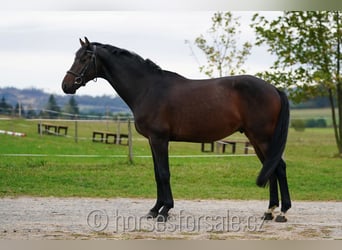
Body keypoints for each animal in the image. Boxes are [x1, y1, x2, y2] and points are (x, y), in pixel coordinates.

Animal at [62, 37, 292, 223]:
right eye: (76, 56)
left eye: (84, 58)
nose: (66, 85)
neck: (147, 88)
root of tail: (274, 89)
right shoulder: (152, 140)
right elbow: (157, 174)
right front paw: (154, 209)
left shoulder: (159, 139)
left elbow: (164, 173)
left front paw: (165, 211)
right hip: (256, 138)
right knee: (271, 168)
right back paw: (269, 212)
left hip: (262, 138)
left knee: (279, 168)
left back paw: (282, 213)